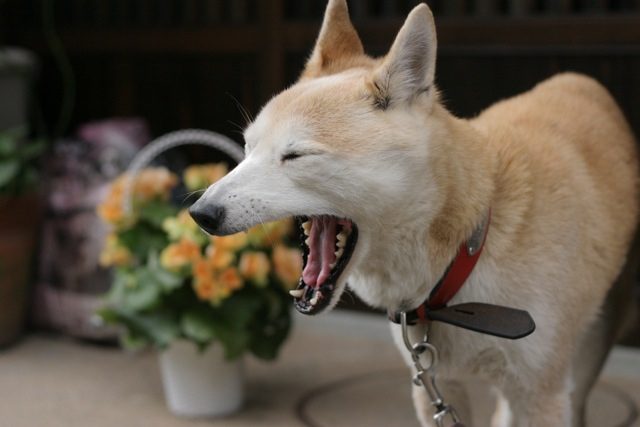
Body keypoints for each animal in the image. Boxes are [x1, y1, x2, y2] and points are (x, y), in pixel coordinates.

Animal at [191, 1, 640, 426]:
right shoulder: (431, 384)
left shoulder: (541, 394)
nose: (201, 212)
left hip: (583, 361)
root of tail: (582, 81)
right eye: (248, 148)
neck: (465, 254)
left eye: (295, 155)